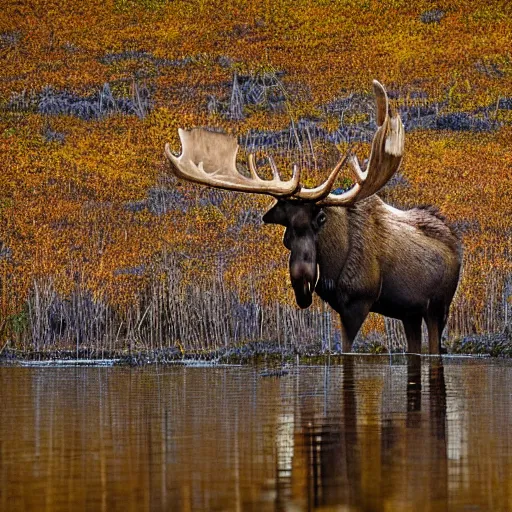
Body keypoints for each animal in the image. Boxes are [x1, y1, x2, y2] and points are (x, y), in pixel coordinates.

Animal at [166, 80, 462, 354]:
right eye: (286, 234)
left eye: (320, 220)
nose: (302, 283)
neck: (334, 262)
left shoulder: (358, 302)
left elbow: (346, 349)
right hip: (409, 313)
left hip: (439, 307)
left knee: (435, 345)